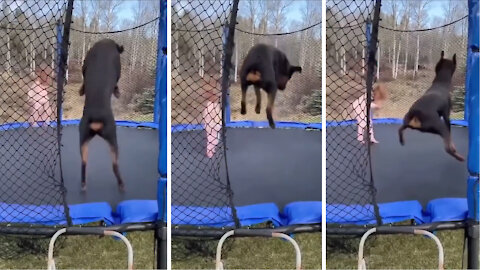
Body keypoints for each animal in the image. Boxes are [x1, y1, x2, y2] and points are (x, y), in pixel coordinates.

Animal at [79, 39, 124, 192]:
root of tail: (96, 121)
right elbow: (116, 83)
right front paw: (117, 92)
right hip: (113, 138)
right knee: (115, 165)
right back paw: (121, 184)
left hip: (84, 140)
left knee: (83, 164)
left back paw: (84, 184)